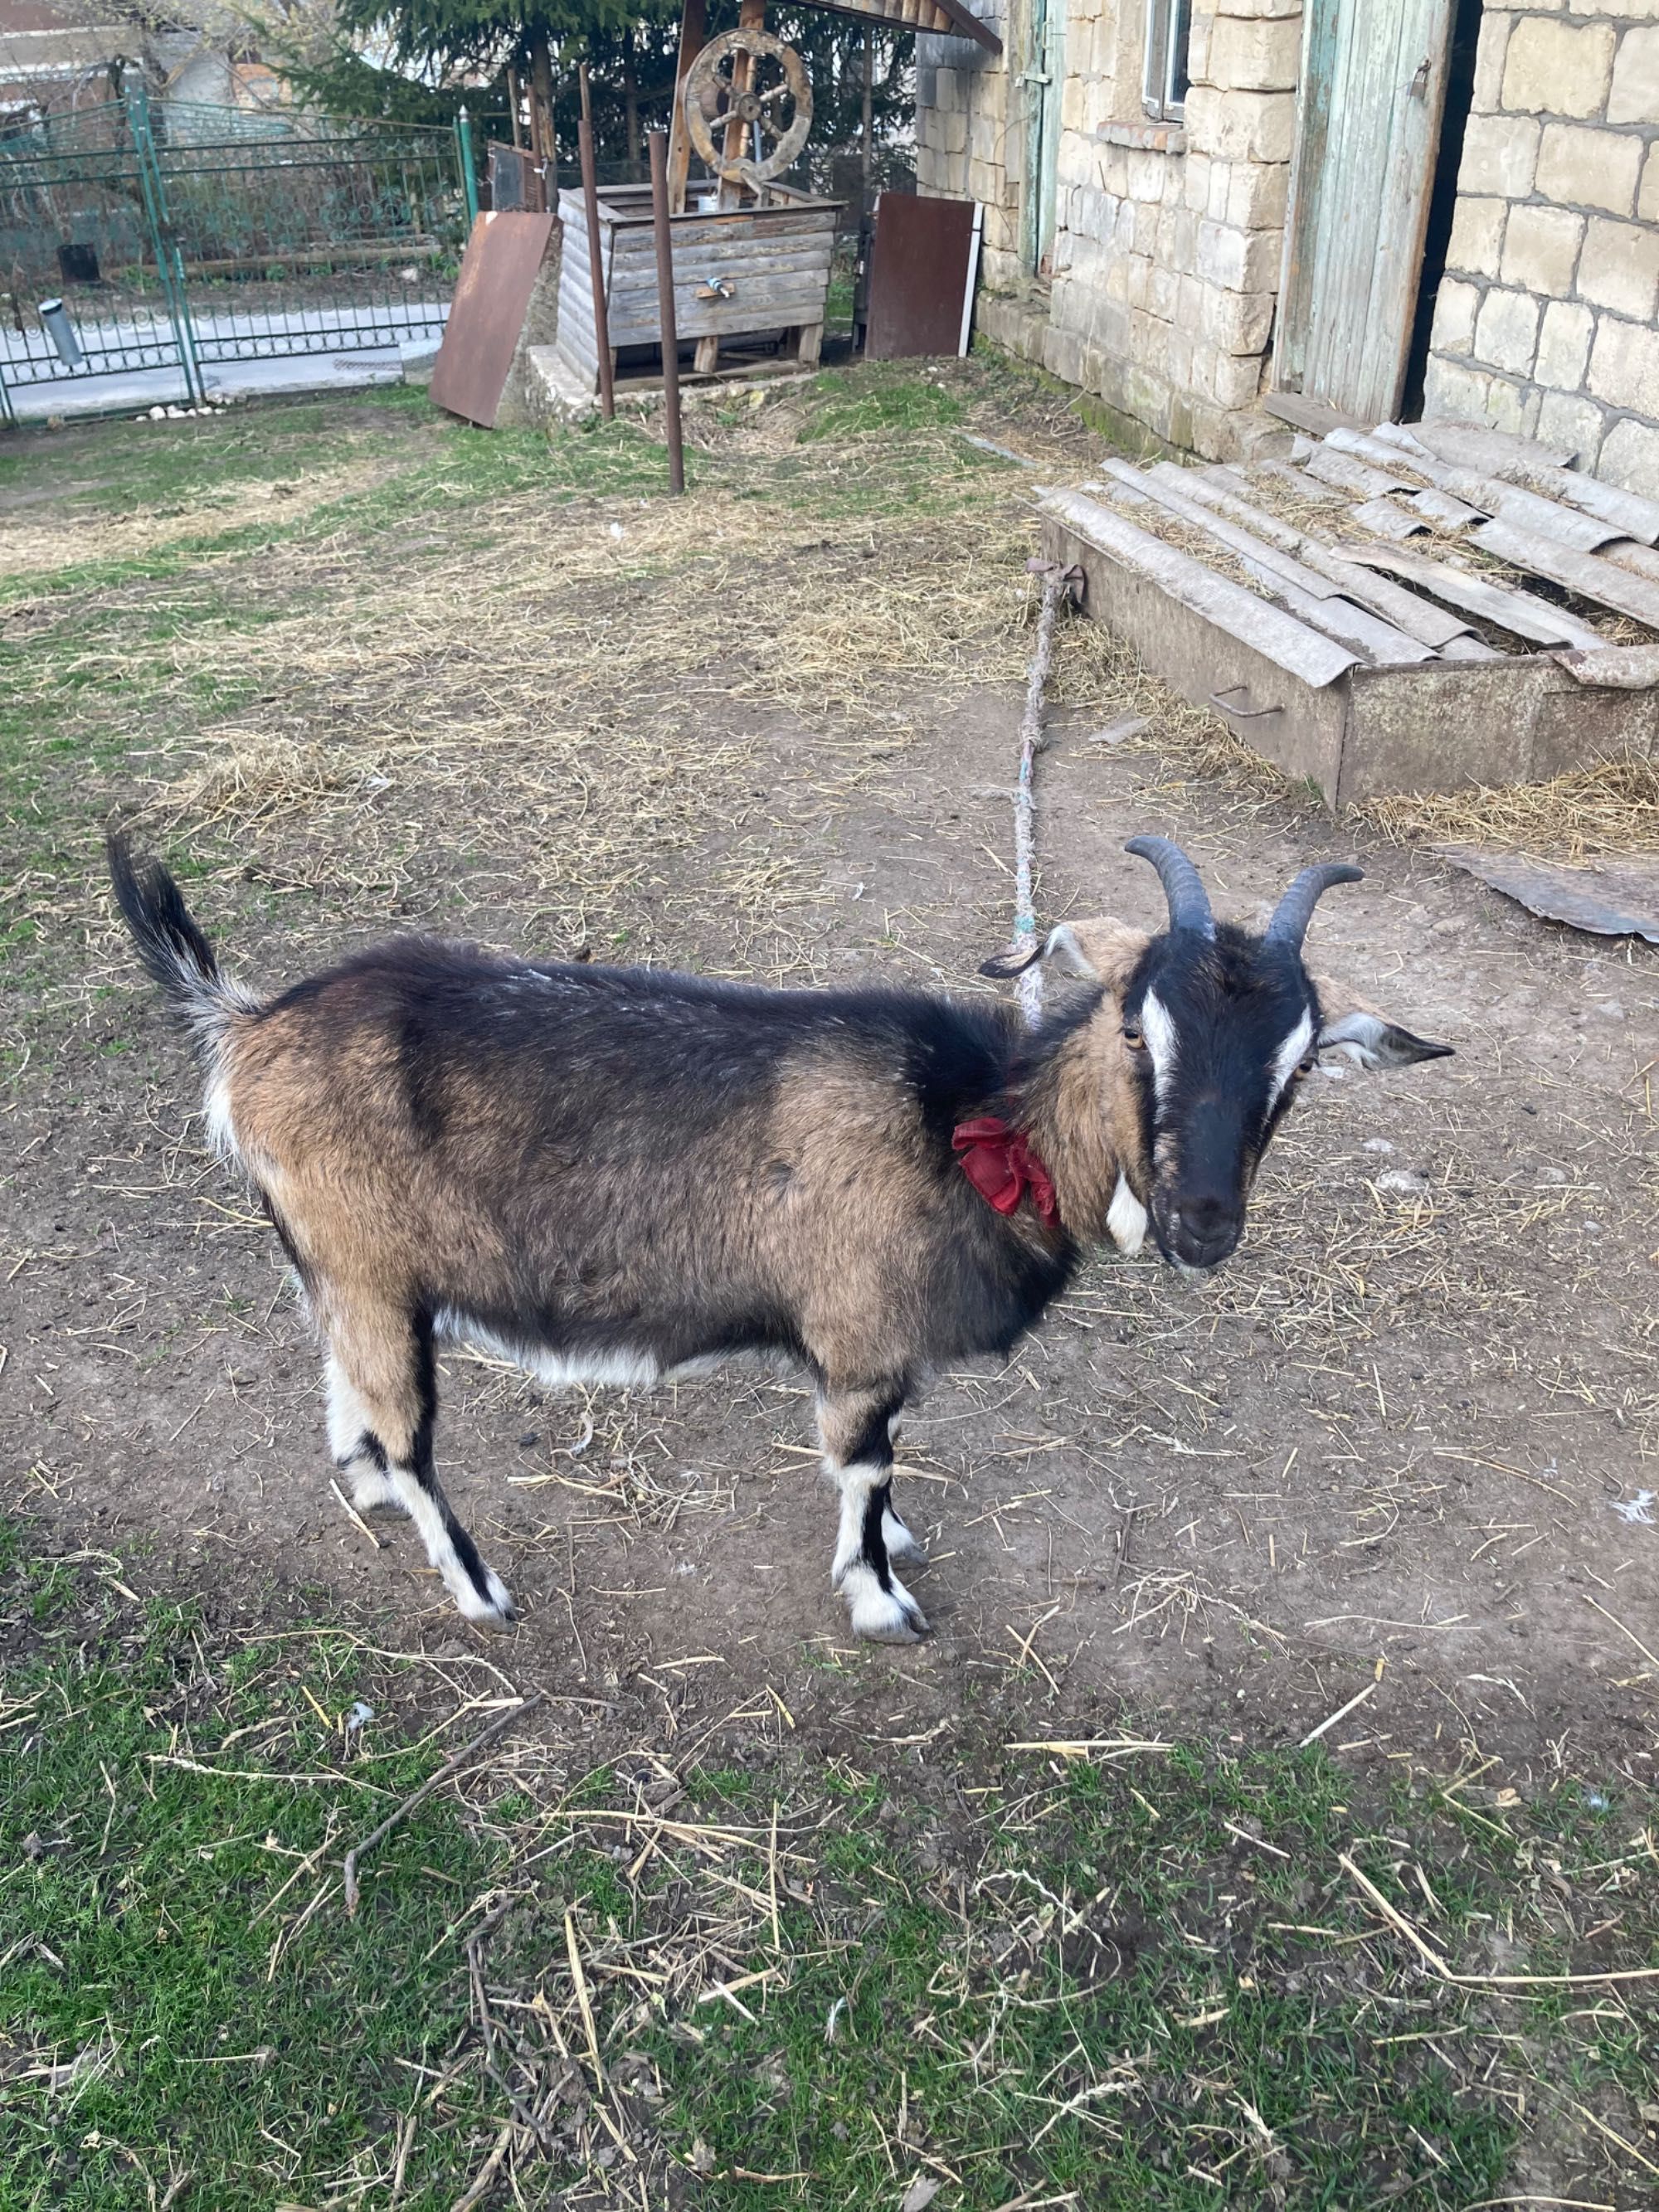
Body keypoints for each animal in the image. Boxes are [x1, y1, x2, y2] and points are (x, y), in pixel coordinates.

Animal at [107, 831, 1451, 1646]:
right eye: (1137, 1027)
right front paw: (882, 1598)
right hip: (378, 1266)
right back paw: (481, 1590)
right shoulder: (858, 1337)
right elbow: (863, 1466)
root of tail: (244, 1026)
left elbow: (887, 1462)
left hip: (345, 1269)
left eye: (1297, 1066)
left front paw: (893, 1547)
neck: (969, 1121)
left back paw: (372, 1494)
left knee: (348, 1393)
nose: (1202, 1223)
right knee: (410, 1434)